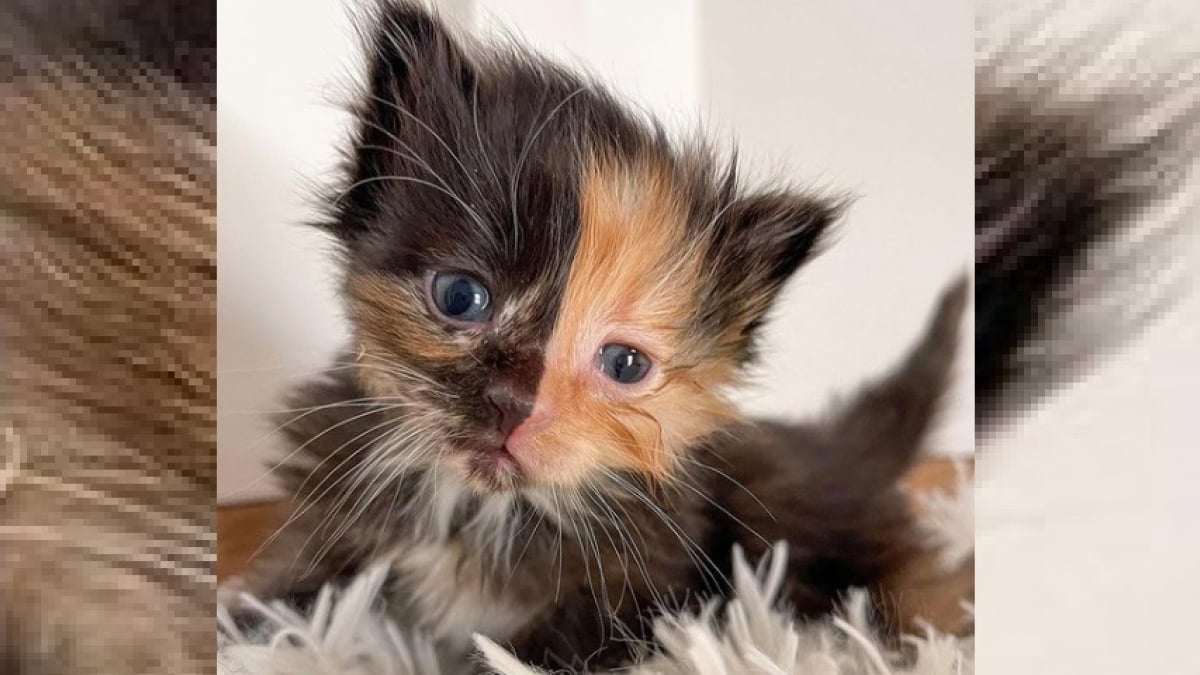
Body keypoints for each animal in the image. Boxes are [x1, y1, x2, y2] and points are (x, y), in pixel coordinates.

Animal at [248, 3, 969, 667]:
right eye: (460, 297)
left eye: (623, 363)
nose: (516, 404)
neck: (483, 514)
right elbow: (281, 609)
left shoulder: (642, 593)